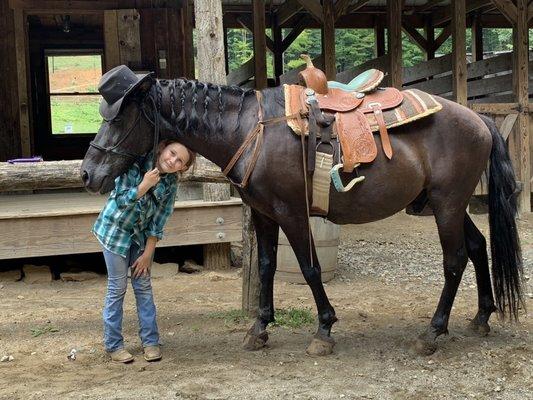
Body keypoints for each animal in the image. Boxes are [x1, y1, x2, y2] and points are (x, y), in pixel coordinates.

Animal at [81, 74, 520, 356]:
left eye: (118, 118)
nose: (87, 173)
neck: (250, 130)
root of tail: (480, 119)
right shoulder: (263, 214)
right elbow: (267, 266)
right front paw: (259, 329)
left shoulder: (291, 212)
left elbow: (309, 268)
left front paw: (324, 329)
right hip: (446, 205)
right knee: (478, 246)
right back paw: (482, 316)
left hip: (447, 205)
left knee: (454, 260)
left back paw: (432, 333)